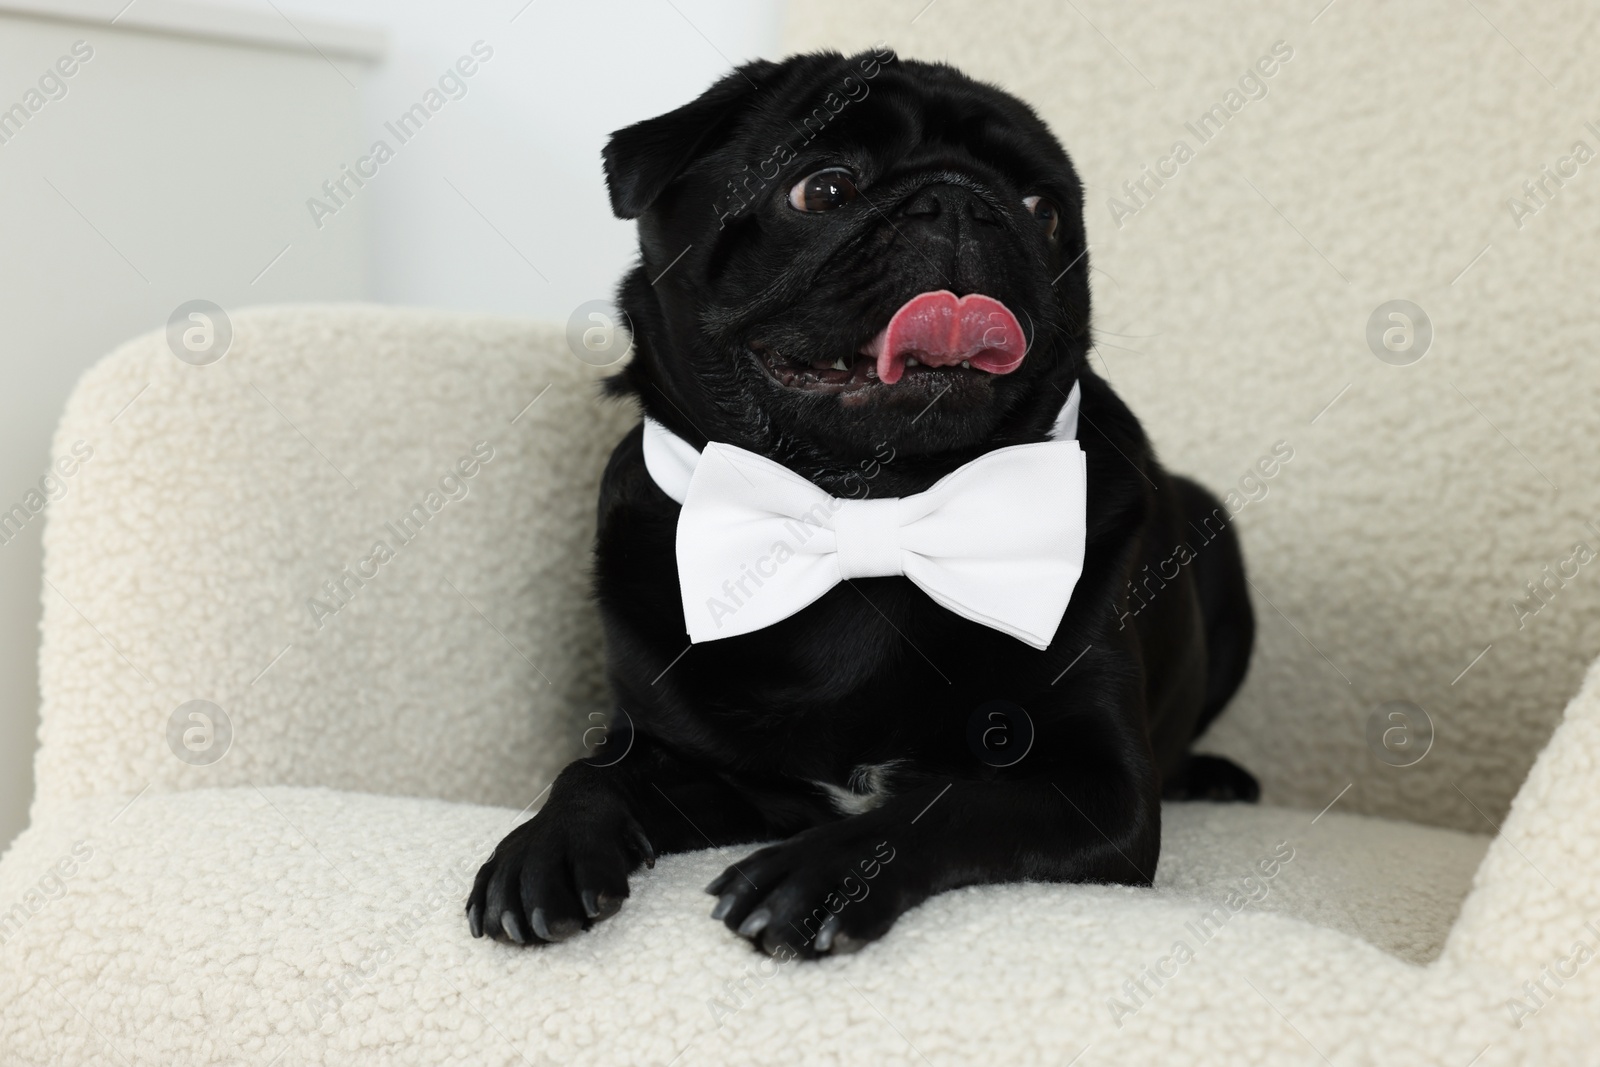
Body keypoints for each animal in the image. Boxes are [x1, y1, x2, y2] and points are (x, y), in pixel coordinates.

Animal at [467, 47, 1254, 959]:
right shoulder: (705, 766)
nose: (960, 199)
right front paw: (547, 846)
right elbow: (594, 768)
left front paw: (821, 869)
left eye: (1043, 210)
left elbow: (947, 803)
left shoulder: (1101, 785)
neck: (869, 501)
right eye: (824, 190)